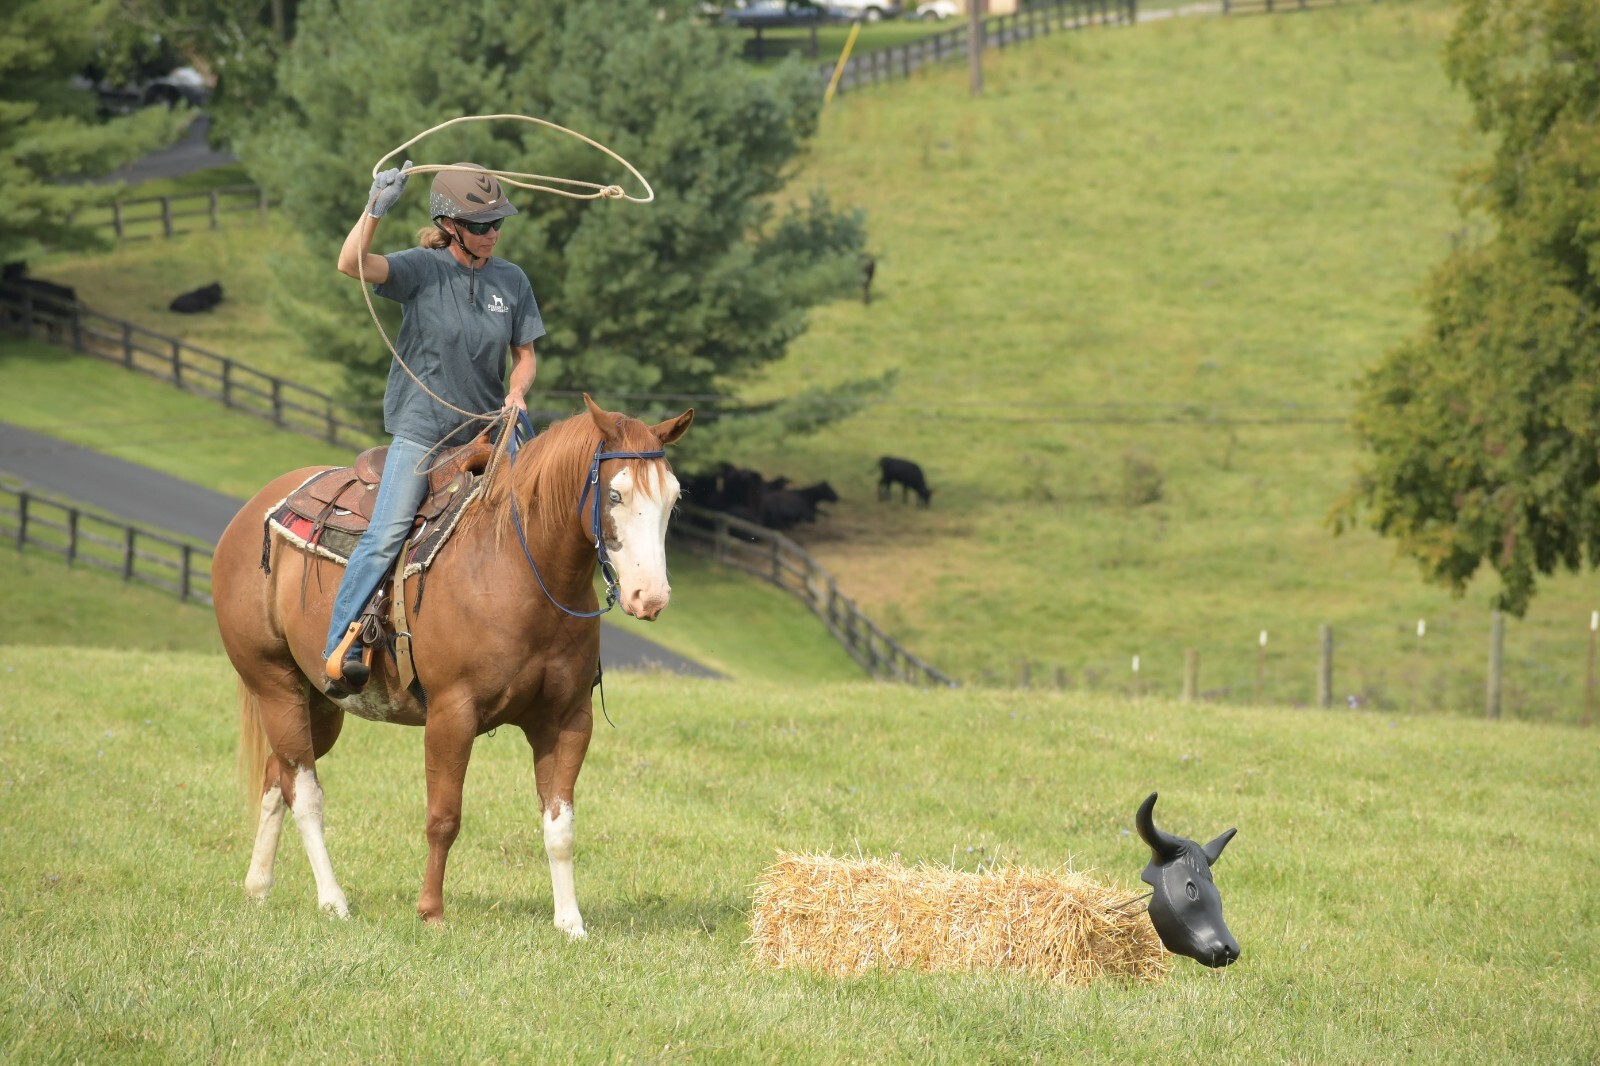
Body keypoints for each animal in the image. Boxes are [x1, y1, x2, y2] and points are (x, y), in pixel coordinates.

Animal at [212, 395, 693, 935]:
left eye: (673, 498)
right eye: (614, 494)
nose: (650, 597)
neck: (517, 570)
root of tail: (254, 511)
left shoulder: (567, 720)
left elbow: (560, 825)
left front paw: (571, 923)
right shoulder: (452, 714)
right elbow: (444, 817)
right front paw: (430, 911)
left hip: (318, 704)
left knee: (280, 777)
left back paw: (258, 887)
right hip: (274, 684)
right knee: (306, 792)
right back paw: (333, 900)